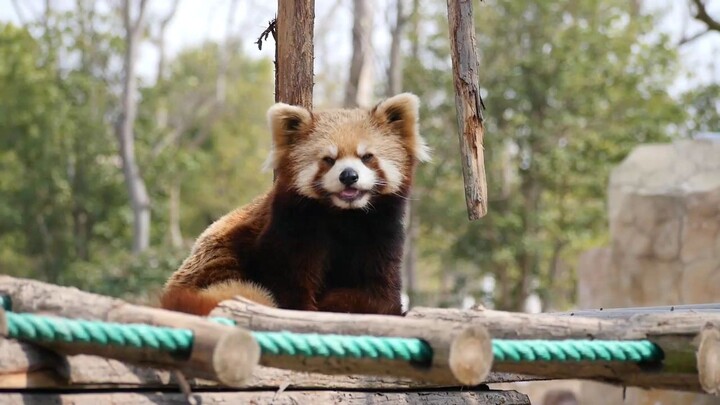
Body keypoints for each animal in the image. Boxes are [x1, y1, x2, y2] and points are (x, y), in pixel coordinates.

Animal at [161, 92, 430, 316]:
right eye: (328, 160)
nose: (349, 176)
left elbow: (377, 287)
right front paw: (305, 306)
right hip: (216, 259)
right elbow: (287, 276)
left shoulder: (380, 230)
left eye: (367, 157)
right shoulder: (293, 227)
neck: (344, 216)